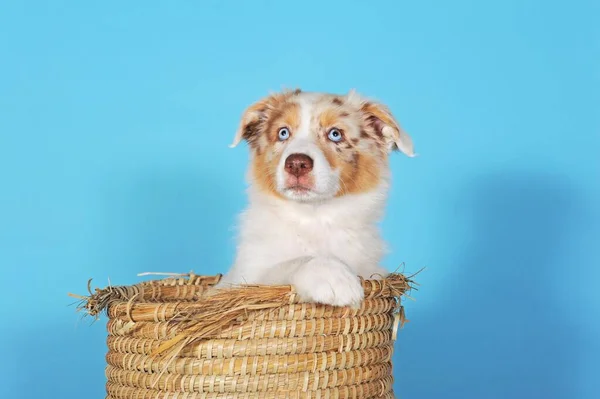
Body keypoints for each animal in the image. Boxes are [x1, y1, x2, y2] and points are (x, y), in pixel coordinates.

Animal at [217, 89, 418, 308]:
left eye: (335, 134)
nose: (296, 164)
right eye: (283, 133)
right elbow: (289, 264)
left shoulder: (370, 268)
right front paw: (332, 276)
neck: (313, 217)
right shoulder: (244, 277)